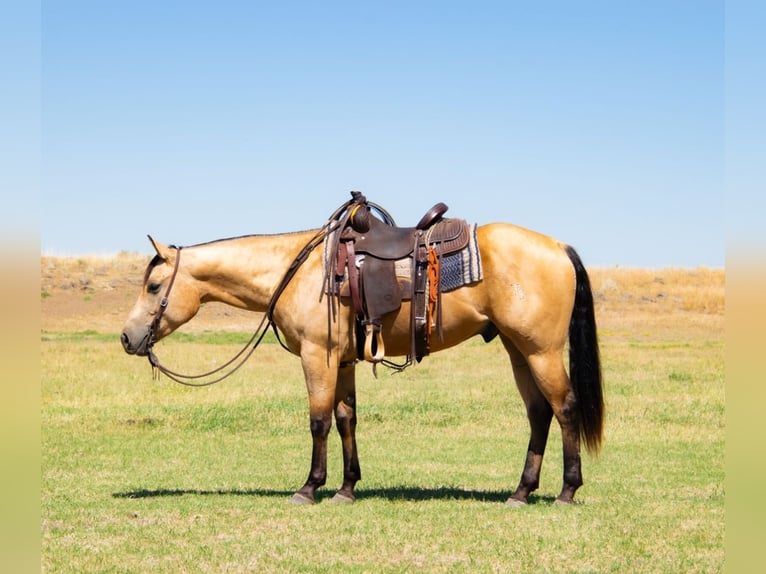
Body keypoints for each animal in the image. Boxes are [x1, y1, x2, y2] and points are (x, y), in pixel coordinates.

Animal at [121, 200, 603, 506]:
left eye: (154, 286)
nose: (127, 338)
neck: (297, 271)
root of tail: (558, 247)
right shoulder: (344, 359)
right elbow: (345, 418)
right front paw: (346, 488)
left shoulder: (317, 356)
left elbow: (318, 421)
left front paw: (309, 488)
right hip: (517, 349)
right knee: (539, 413)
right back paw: (521, 492)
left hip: (541, 350)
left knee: (565, 407)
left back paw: (566, 491)